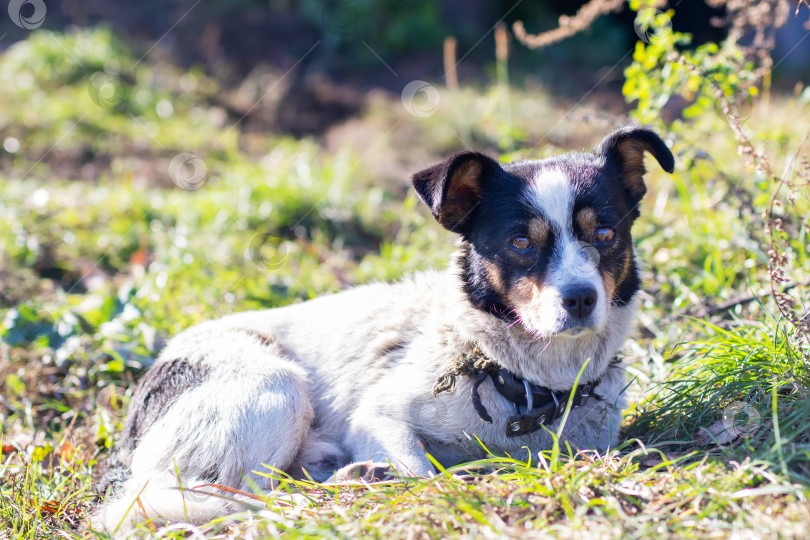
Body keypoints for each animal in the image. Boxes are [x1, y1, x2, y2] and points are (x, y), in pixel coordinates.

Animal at [93, 125, 676, 532]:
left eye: (604, 233)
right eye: (520, 243)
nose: (580, 299)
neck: (525, 383)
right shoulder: (379, 416)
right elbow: (422, 471)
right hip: (271, 389)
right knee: (245, 493)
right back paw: (339, 486)